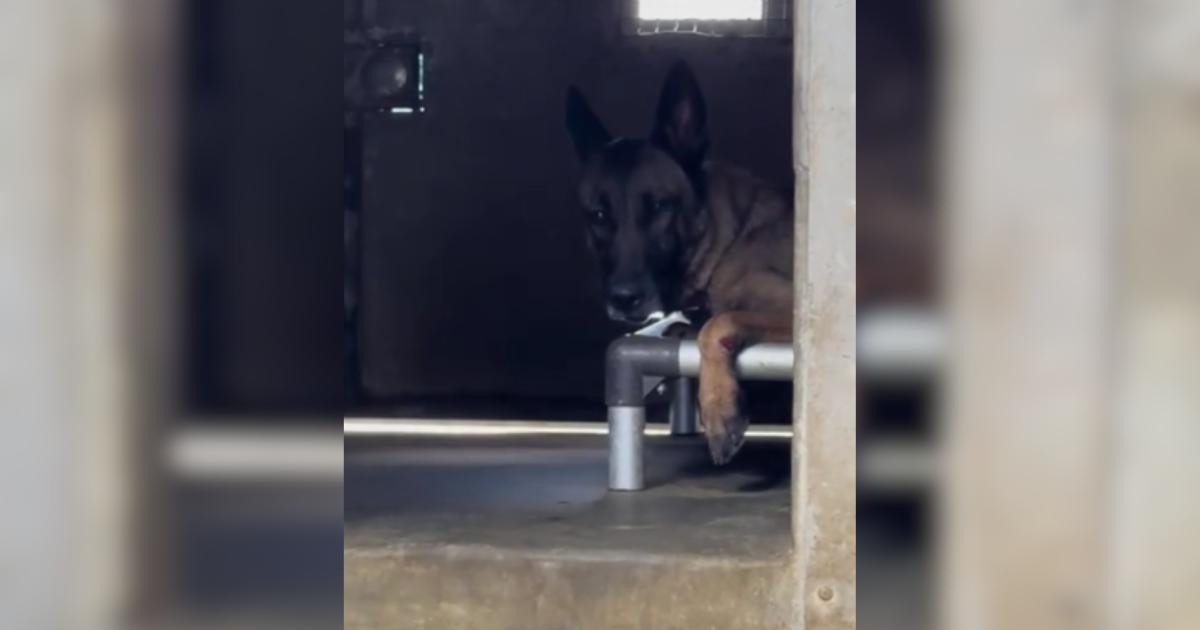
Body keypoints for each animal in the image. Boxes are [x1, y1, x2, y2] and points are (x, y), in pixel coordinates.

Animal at [565, 61, 794, 465]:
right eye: (599, 215)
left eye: (659, 206)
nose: (623, 299)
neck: (730, 238)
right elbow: (693, 325)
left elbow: (718, 324)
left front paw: (718, 409)